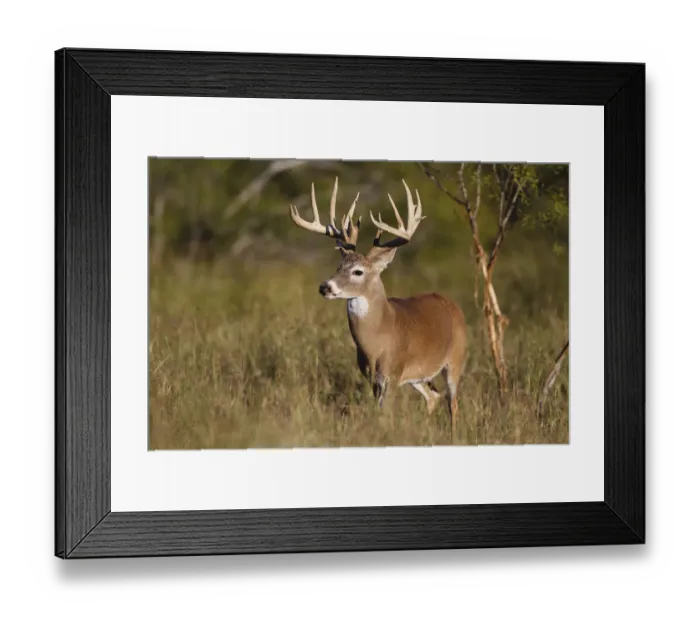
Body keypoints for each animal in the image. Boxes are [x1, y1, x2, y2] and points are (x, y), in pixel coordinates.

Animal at [289, 177, 468, 438]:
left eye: (358, 271)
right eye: (339, 265)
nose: (325, 287)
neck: (378, 341)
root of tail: (455, 306)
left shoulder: (392, 373)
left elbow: (385, 414)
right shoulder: (372, 377)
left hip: (455, 359)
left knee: (453, 403)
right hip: (418, 374)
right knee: (433, 396)